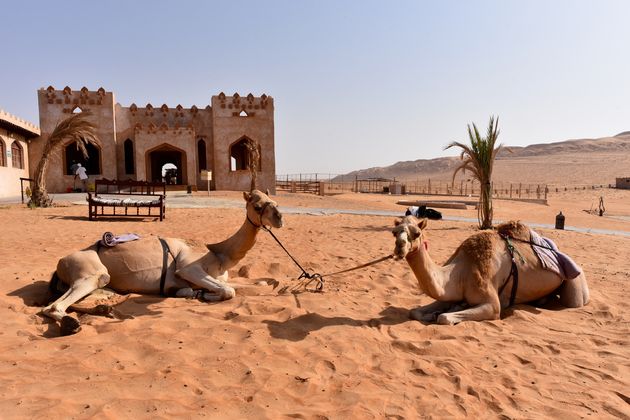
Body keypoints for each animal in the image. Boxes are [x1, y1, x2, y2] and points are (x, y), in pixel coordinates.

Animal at [42, 190, 284, 334]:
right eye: (257, 206)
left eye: (274, 202)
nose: (279, 217)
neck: (219, 255)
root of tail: (59, 264)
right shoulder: (188, 268)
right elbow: (228, 290)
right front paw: (203, 295)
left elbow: (260, 283)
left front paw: (197, 293)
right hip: (90, 271)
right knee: (53, 305)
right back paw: (71, 323)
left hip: (103, 286)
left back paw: (104, 310)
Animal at [392, 217, 592, 324]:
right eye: (394, 232)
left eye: (417, 233)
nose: (400, 247)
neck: (461, 270)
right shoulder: (451, 292)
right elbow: (415, 311)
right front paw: (434, 312)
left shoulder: (492, 304)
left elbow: (445, 318)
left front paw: (443, 314)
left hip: (576, 282)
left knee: (573, 301)